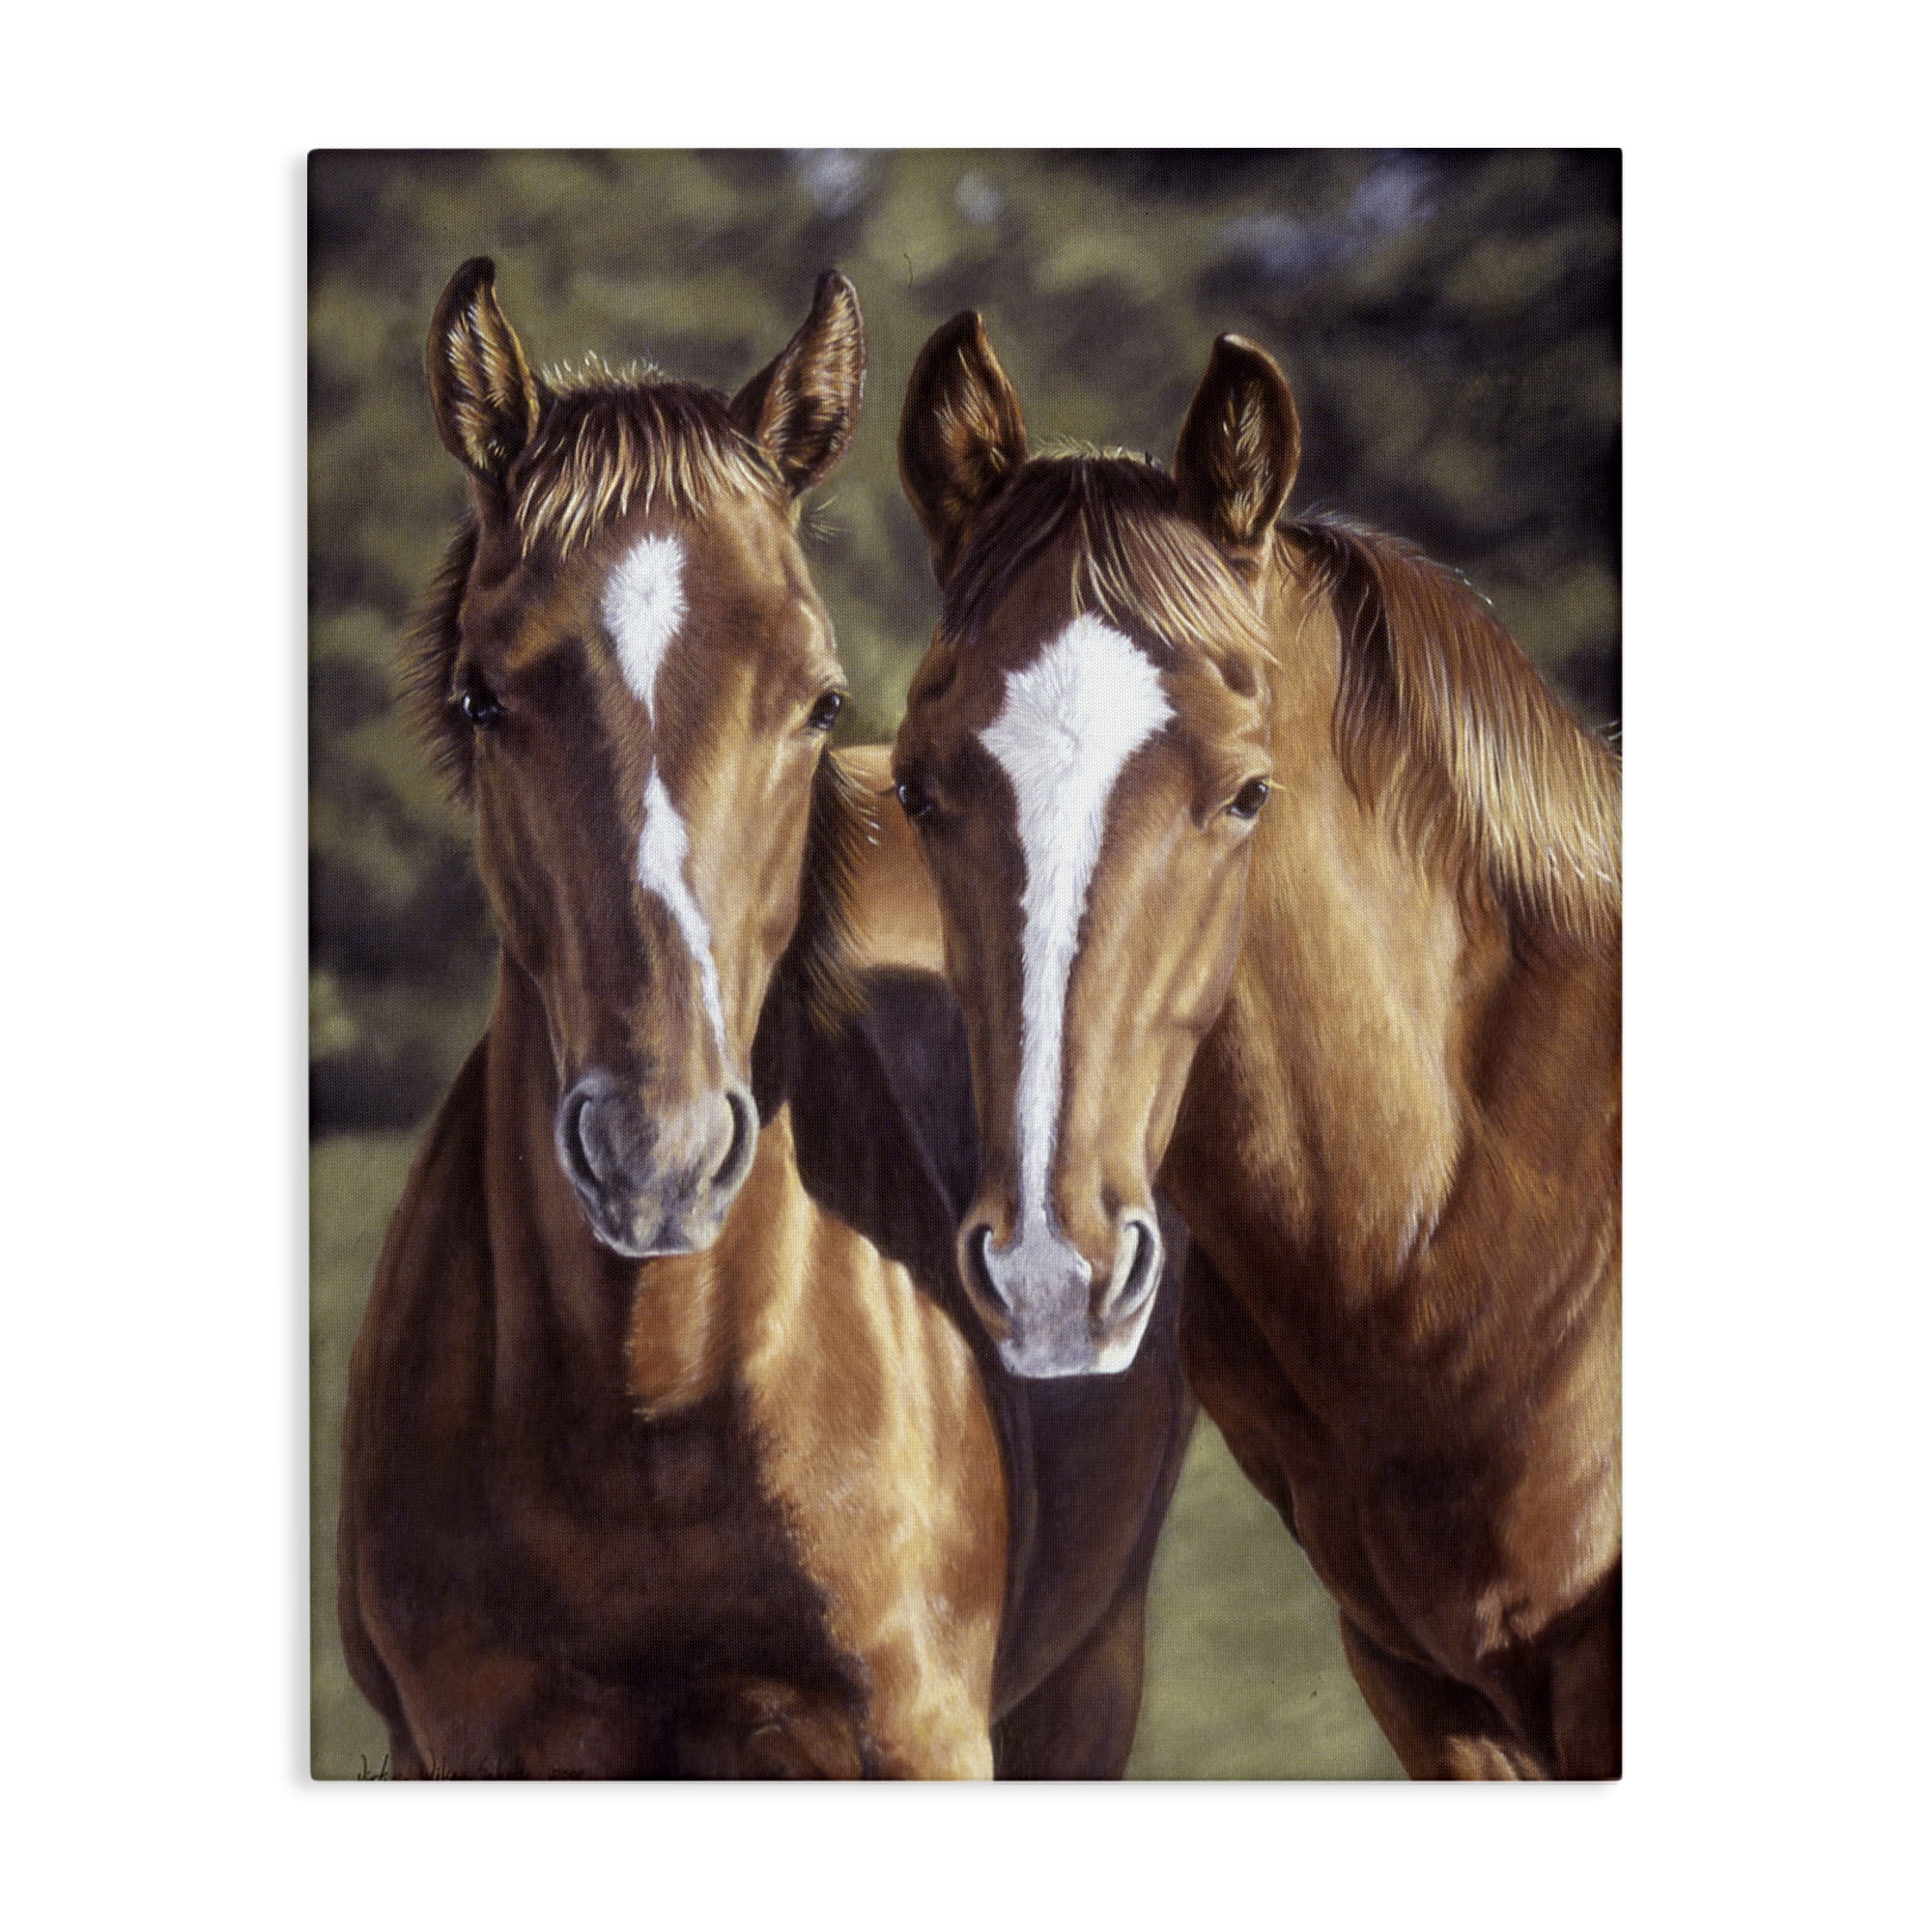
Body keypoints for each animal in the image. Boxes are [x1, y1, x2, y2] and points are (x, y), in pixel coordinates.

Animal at [335, 264, 1194, 1778]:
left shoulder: (921, 1739)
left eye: (817, 698)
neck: (657, 1410)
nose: (658, 1154)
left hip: (1090, 1678)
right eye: (483, 697)